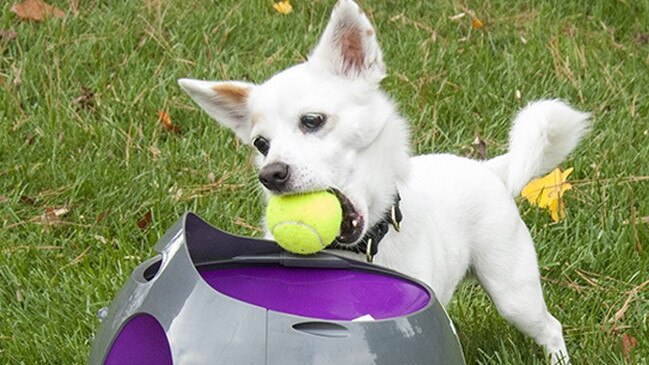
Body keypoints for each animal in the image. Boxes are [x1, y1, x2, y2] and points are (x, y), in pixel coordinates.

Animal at [178, 0, 588, 362]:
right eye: (261, 144)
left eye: (312, 120)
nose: (270, 175)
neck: (358, 249)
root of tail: (488, 168)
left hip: (513, 292)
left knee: (550, 327)